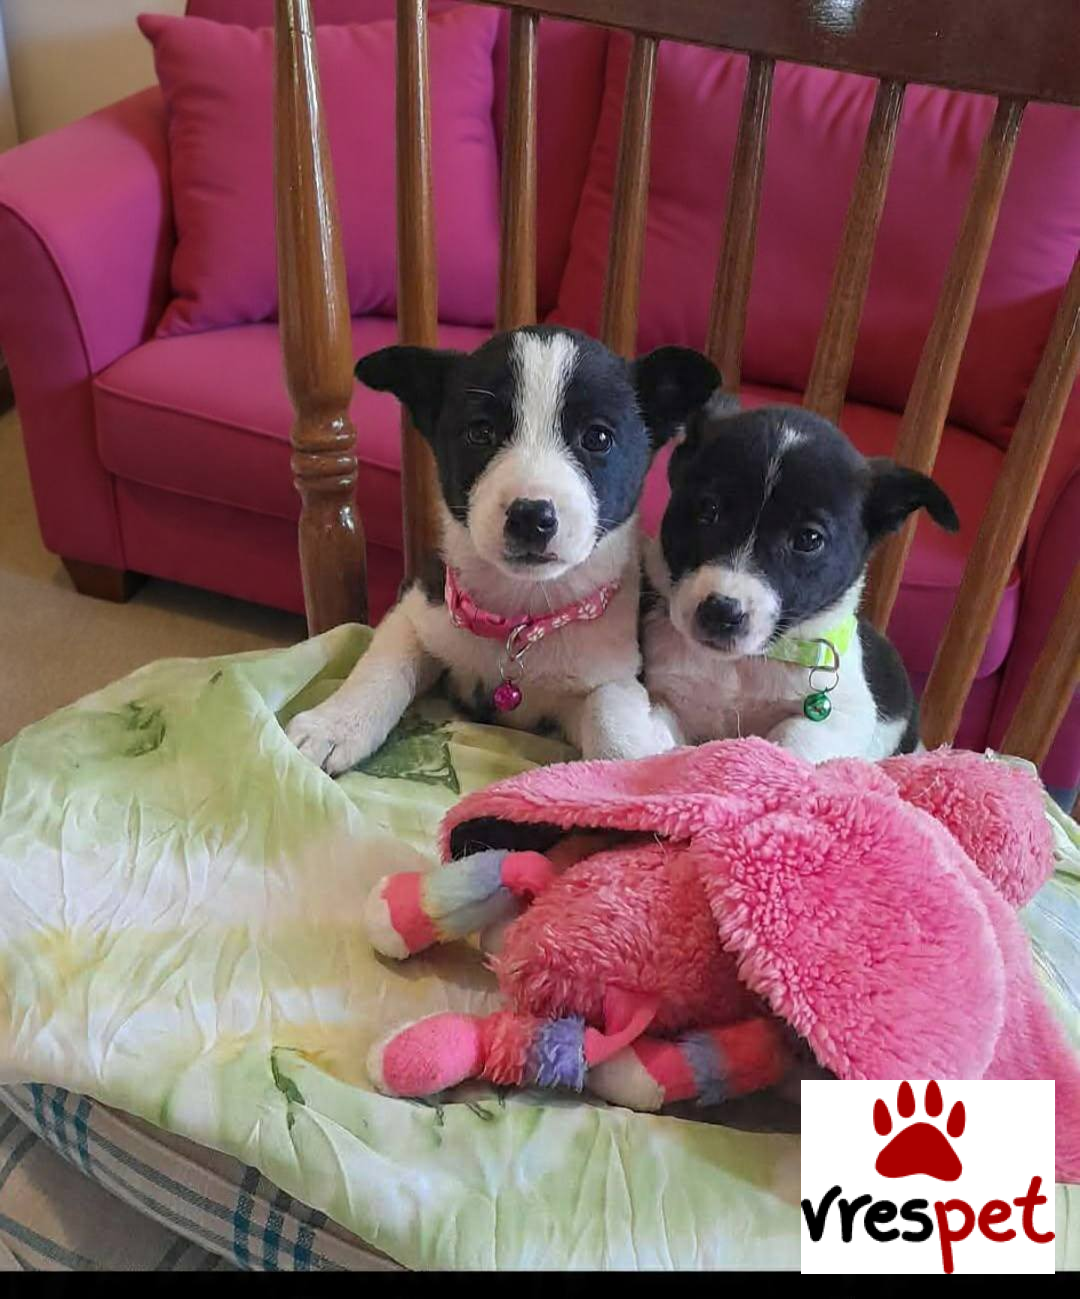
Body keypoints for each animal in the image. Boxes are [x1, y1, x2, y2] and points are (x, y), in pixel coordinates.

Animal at [286, 326, 720, 774]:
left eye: (598, 437)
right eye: (480, 432)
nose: (531, 517)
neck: (520, 616)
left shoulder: (609, 674)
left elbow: (612, 720)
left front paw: (631, 771)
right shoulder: (418, 607)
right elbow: (382, 664)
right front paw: (335, 724)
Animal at [643, 397, 960, 764]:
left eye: (808, 539)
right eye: (708, 510)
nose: (721, 612)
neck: (742, 666)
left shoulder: (844, 716)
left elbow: (794, 737)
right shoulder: (665, 694)